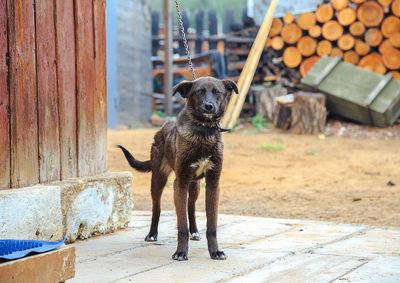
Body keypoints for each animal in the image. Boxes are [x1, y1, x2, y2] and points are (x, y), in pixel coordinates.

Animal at [118, 76, 238, 262]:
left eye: (217, 92)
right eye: (199, 92)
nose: (209, 106)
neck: (203, 133)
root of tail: (163, 126)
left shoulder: (213, 184)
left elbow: (212, 225)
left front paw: (215, 252)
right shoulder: (180, 183)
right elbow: (182, 226)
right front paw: (181, 252)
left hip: (195, 186)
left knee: (191, 206)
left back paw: (195, 231)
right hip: (158, 180)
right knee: (156, 208)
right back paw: (152, 234)